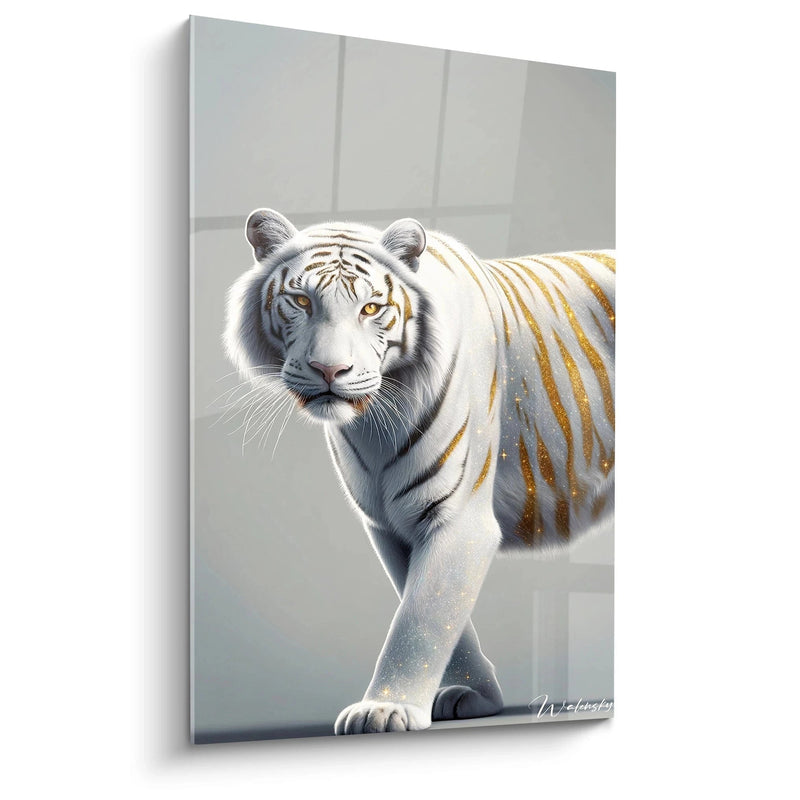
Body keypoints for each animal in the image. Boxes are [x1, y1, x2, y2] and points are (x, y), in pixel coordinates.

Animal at [224, 208, 615, 735]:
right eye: (301, 300)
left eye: (371, 308)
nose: (330, 371)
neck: (374, 423)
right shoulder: (390, 524)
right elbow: (440, 617)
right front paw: (474, 695)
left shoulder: (459, 518)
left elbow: (420, 618)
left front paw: (384, 708)